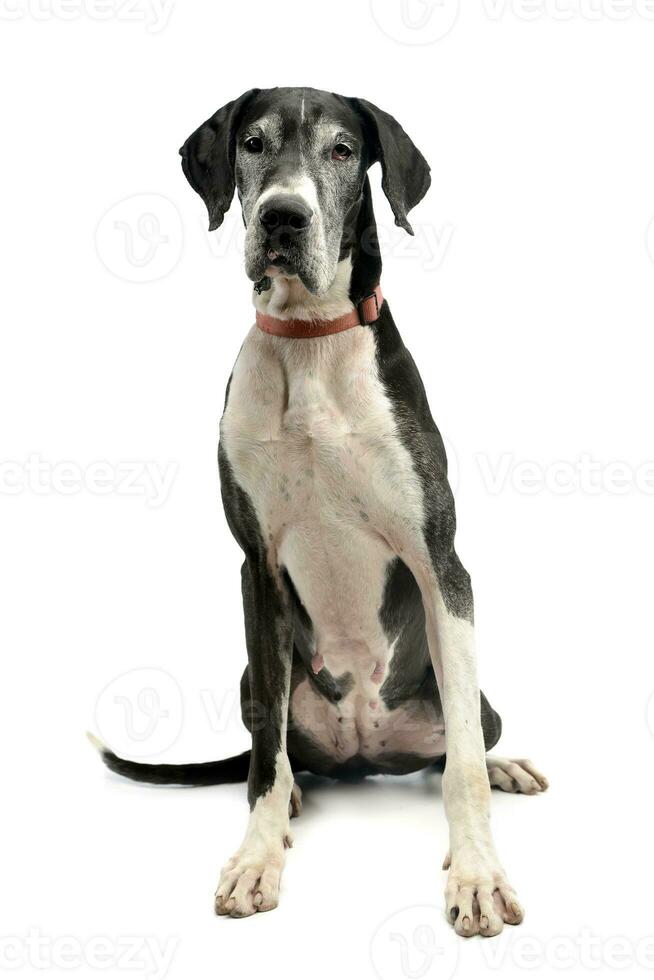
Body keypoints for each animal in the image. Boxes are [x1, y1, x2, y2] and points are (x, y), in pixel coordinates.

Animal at [92, 88, 552, 936]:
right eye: (252, 142)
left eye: (342, 150)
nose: (283, 217)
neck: (309, 343)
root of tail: (364, 750)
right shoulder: (257, 565)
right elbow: (267, 761)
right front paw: (256, 857)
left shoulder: (442, 564)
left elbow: (462, 767)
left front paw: (477, 874)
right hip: (251, 672)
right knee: (274, 748)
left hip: (472, 691)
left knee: (463, 742)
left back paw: (504, 763)